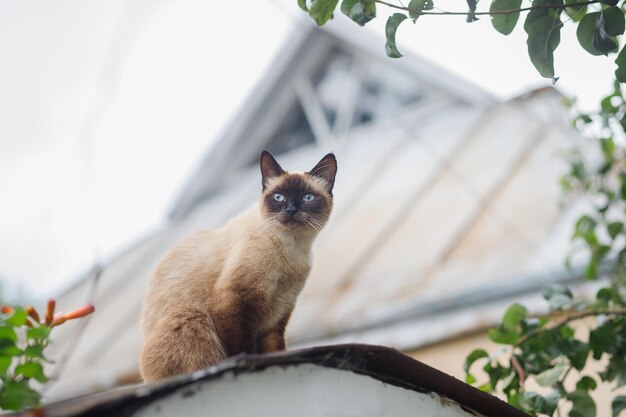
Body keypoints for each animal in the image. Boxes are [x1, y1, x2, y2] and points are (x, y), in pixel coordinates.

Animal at [140, 151, 336, 382]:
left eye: (308, 198)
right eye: (279, 197)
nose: (290, 210)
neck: (292, 248)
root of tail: (147, 378)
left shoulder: (279, 310)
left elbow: (275, 351)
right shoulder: (234, 301)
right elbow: (242, 349)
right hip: (192, 317)